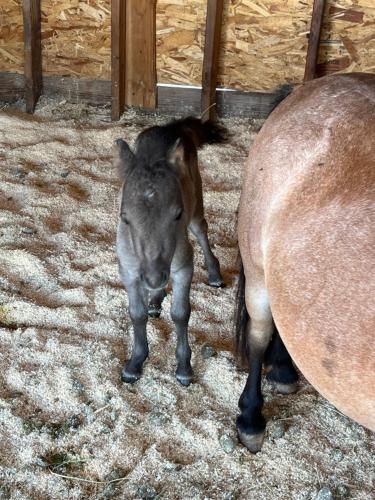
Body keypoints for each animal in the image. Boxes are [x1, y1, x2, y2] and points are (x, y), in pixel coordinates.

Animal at [114, 117, 226, 386]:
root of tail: (169, 127)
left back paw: (215, 275)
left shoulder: (184, 267)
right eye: (125, 218)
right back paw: (155, 300)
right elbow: (137, 314)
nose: (155, 277)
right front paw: (135, 363)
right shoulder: (129, 271)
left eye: (177, 214)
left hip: (196, 209)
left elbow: (181, 314)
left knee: (202, 231)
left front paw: (184, 367)